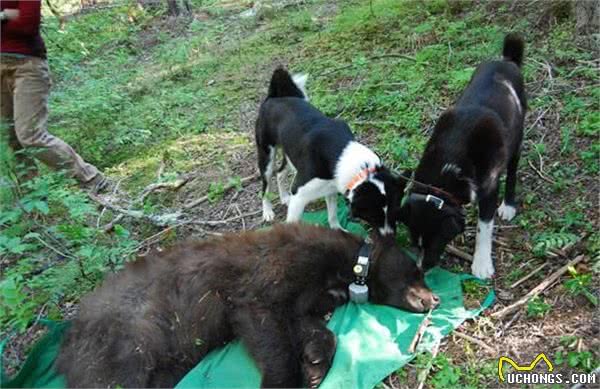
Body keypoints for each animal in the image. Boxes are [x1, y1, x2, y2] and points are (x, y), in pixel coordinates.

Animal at [55, 223, 440, 386]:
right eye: (418, 270)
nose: (435, 298)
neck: (348, 269)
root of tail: (67, 340)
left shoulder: (305, 299)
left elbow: (309, 326)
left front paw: (315, 363)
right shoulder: (273, 273)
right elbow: (263, 320)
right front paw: (283, 381)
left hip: (162, 365)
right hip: (123, 344)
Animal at [254, 68, 400, 235]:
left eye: (395, 210)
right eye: (374, 214)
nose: (391, 236)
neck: (340, 153)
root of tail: (273, 97)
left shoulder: (330, 188)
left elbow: (332, 215)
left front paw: (338, 231)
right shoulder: (299, 194)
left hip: (290, 153)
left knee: (280, 173)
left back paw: (284, 197)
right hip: (266, 157)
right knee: (265, 186)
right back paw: (267, 212)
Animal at [400, 34, 528, 278]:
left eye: (434, 242)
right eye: (414, 242)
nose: (421, 269)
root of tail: (507, 61)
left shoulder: (489, 189)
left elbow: (483, 227)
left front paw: (481, 263)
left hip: (517, 137)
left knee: (513, 170)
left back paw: (508, 204)